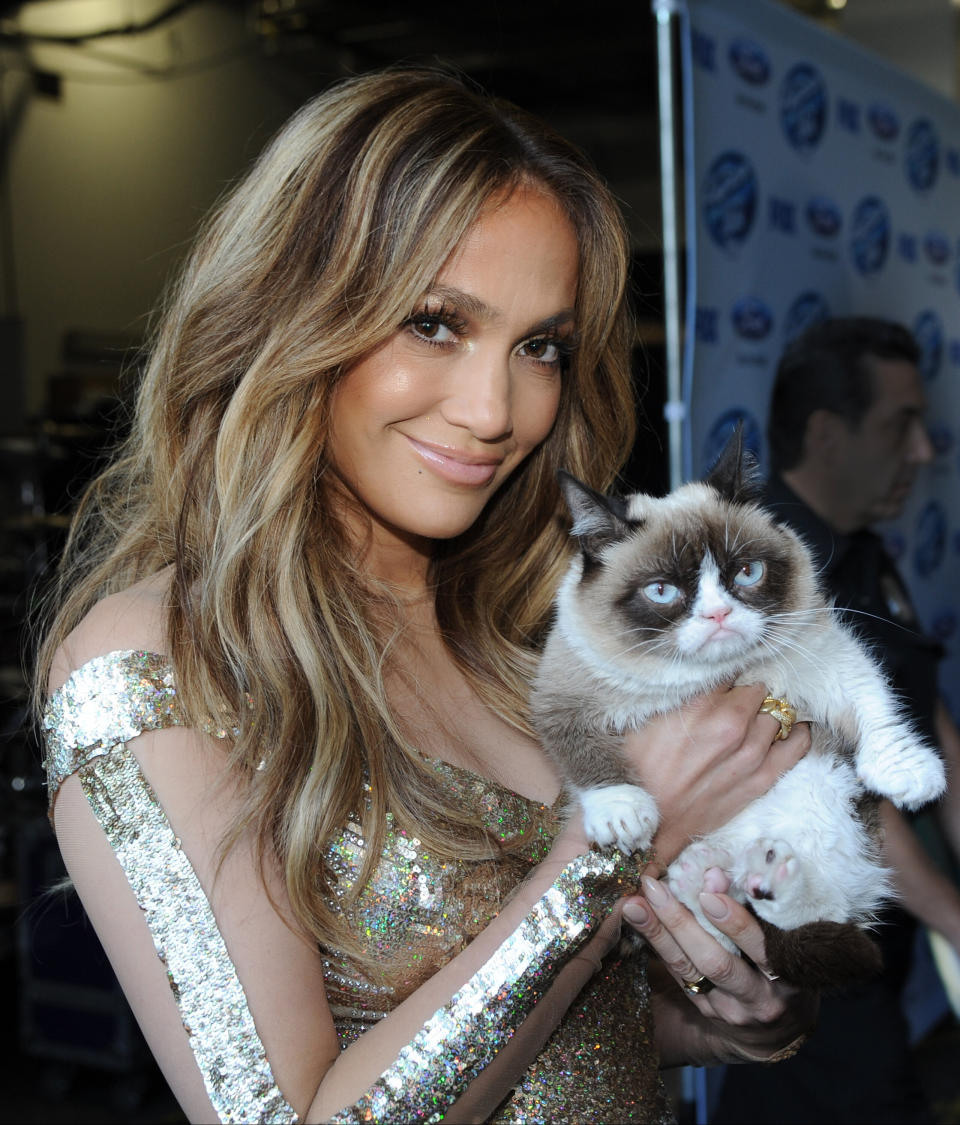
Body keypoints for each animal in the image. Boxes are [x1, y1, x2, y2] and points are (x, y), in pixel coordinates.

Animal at [531, 429, 945, 985]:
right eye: (662, 590)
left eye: (747, 573)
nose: (718, 614)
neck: (707, 679)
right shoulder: (560, 696)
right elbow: (582, 754)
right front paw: (623, 816)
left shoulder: (826, 656)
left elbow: (873, 700)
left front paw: (909, 775)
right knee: (736, 922)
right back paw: (701, 873)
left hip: (830, 803)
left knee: (808, 916)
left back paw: (761, 874)